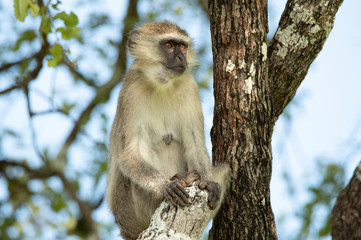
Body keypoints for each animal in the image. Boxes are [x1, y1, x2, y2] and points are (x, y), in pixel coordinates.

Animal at [106, 21, 228, 240]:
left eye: (182, 47)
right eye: (169, 45)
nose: (181, 58)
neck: (162, 84)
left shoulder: (189, 86)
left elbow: (195, 145)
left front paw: (208, 182)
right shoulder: (132, 89)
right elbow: (129, 155)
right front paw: (166, 185)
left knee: (224, 168)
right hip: (131, 209)